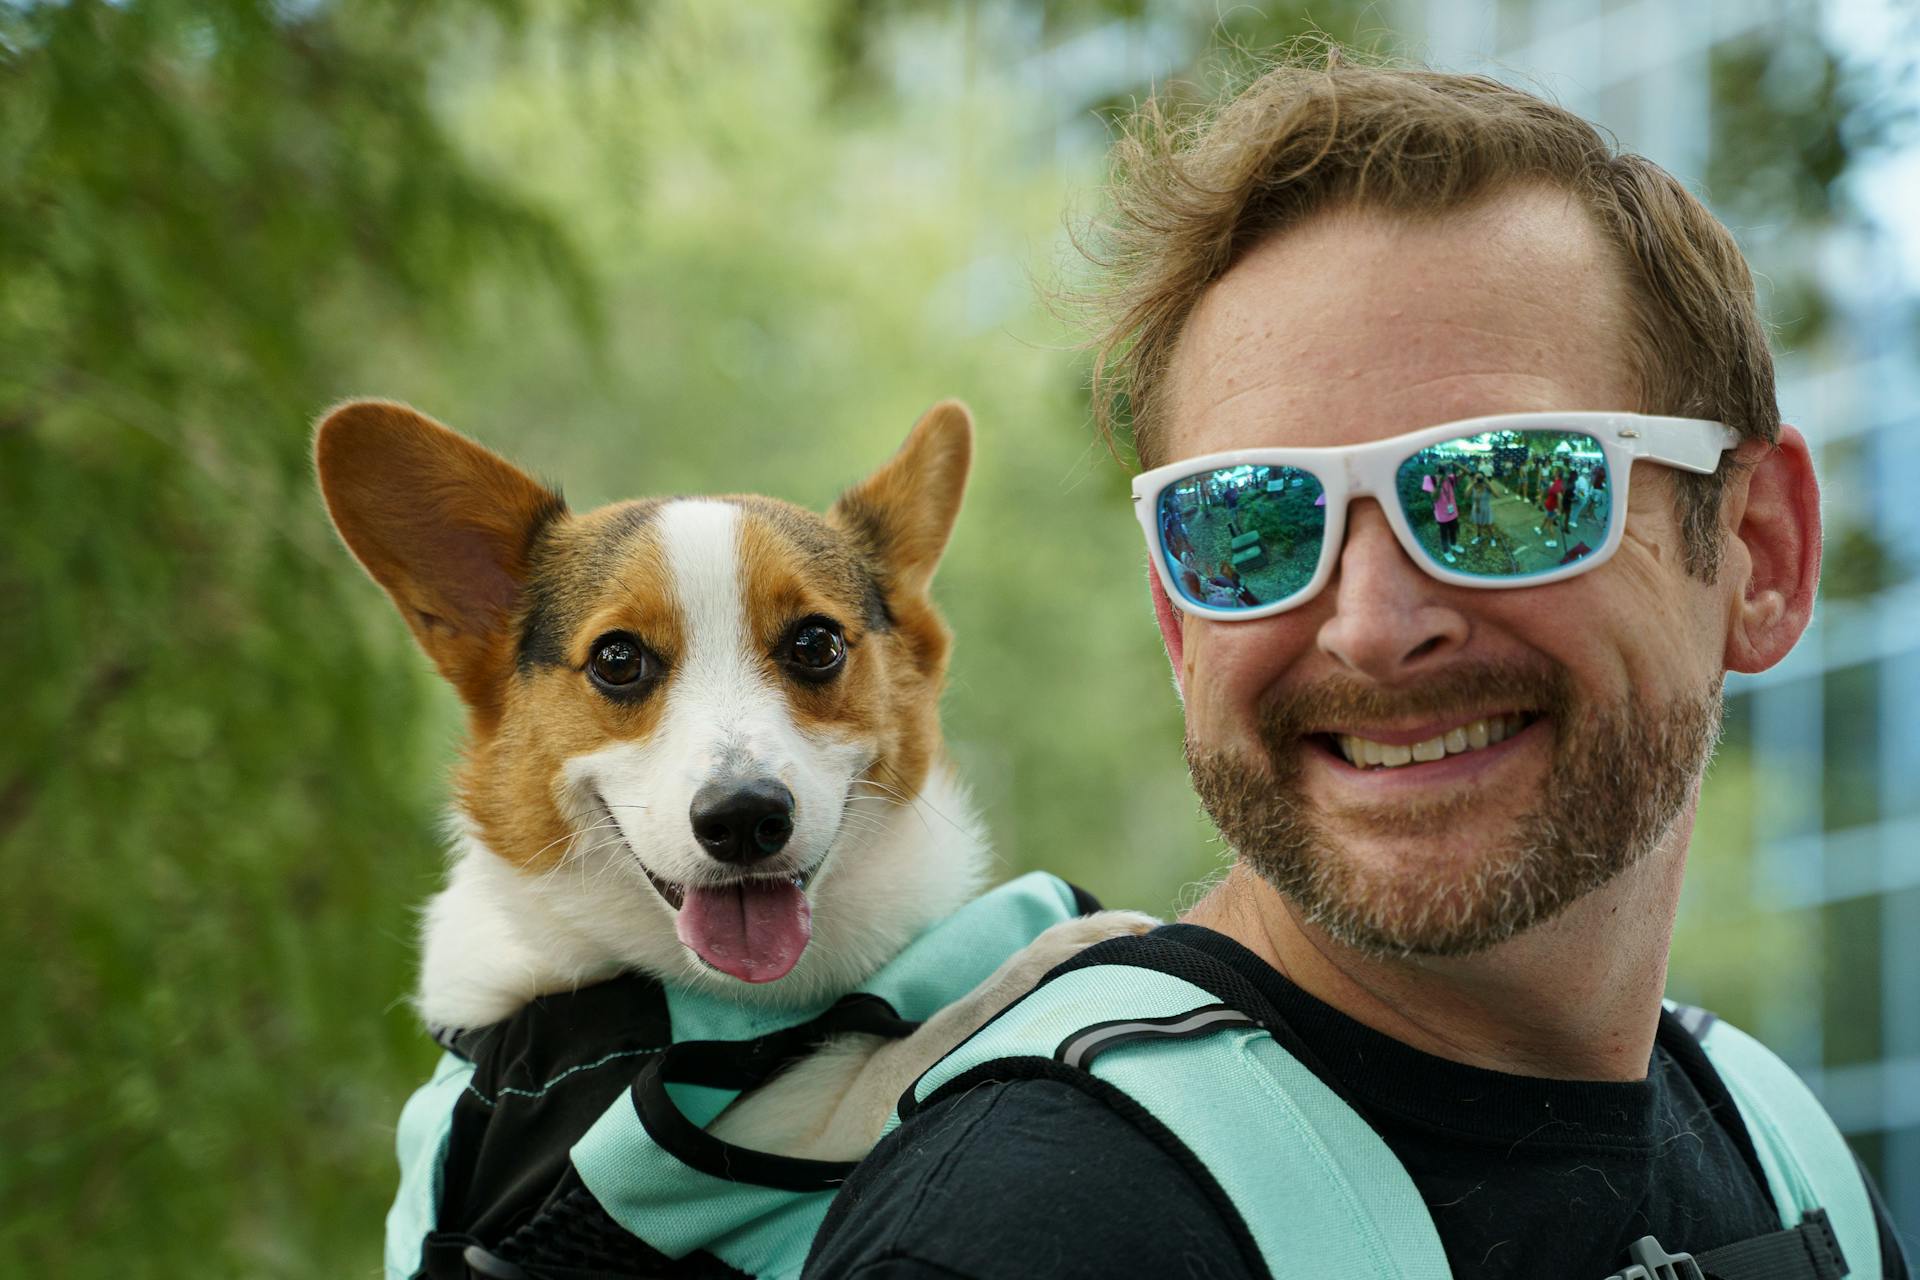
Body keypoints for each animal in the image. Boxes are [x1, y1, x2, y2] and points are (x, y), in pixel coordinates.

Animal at [320, 402, 1144, 1174]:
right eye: (617, 660)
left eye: (816, 643)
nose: (744, 818)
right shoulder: (729, 1135)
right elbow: (886, 1058)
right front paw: (1053, 953)